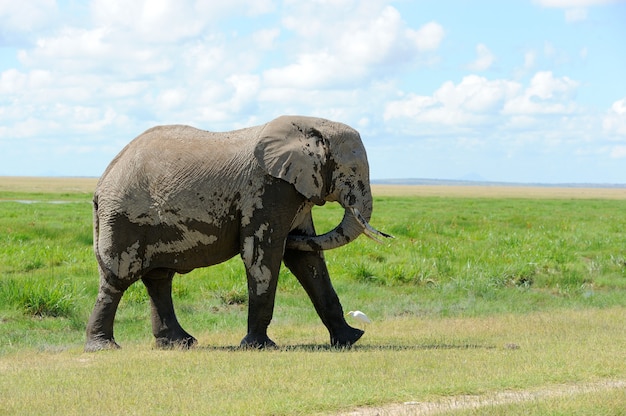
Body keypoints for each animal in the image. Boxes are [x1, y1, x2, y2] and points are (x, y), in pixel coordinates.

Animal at [84, 114, 390, 352]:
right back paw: (103, 347)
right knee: (118, 277)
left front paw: (351, 339)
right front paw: (259, 347)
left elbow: (307, 261)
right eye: (352, 171)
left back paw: (180, 343)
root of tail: (100, 184)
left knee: (158, 279)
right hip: (123, 217)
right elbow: (262, 254)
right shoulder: (268, 189)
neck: (311, 125)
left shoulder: (296, 189)